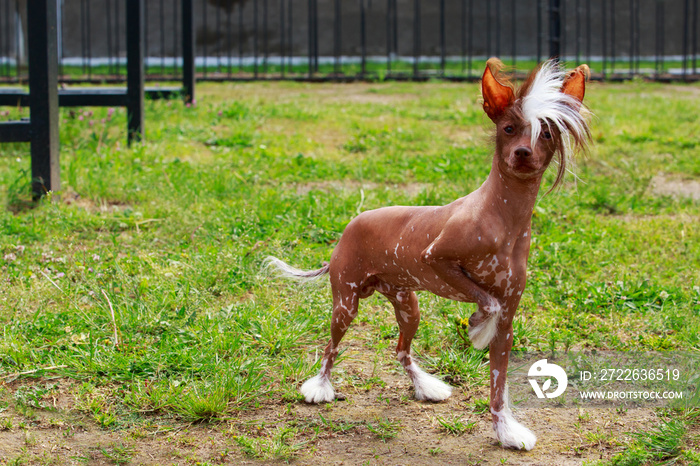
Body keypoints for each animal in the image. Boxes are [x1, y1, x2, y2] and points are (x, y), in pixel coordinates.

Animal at [268, 56, 592, 450]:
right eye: (509, 128)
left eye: (546, 133)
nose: (522, 153)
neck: (504, 217)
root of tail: (349, 227)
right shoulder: (436, 259)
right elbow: (487, 303)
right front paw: (477, 327)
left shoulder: (508, 324)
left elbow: (498, 385)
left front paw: (505, 429)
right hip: (346, 303)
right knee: (331, 349)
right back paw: (319, 387)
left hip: (408, 305)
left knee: (401, 350)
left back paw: (425, 386)